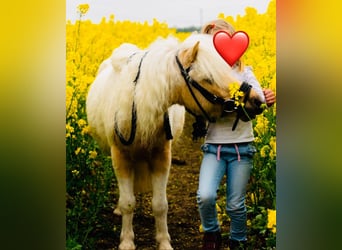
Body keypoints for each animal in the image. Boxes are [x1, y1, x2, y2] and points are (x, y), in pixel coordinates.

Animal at [86, 33, 264, 250]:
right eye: (208, 78)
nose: (257, 101)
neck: (137, 104)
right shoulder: (120, 157)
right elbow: (128, 202)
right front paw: (127, 241)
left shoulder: (162, 156)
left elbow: (160, 204)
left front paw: (164, 242)